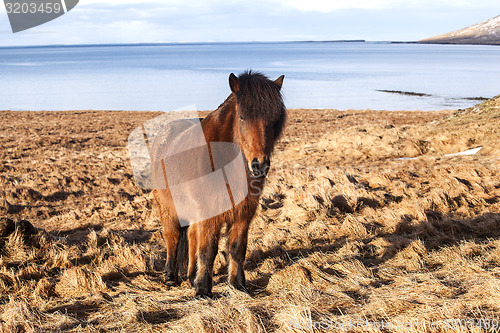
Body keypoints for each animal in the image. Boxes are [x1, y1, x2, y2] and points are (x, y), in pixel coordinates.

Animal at [151, 70, 286, 298]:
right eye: (242, 117)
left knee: (191, 236)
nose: (259, 165)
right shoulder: (210, 214)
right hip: (168, 207)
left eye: (274, 120)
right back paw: (171, 276)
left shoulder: (243, 213)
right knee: (172, 236)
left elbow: (237, 248)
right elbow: (208, 250)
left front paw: (237, 284)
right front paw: (203, 290)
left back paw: (190, 276)